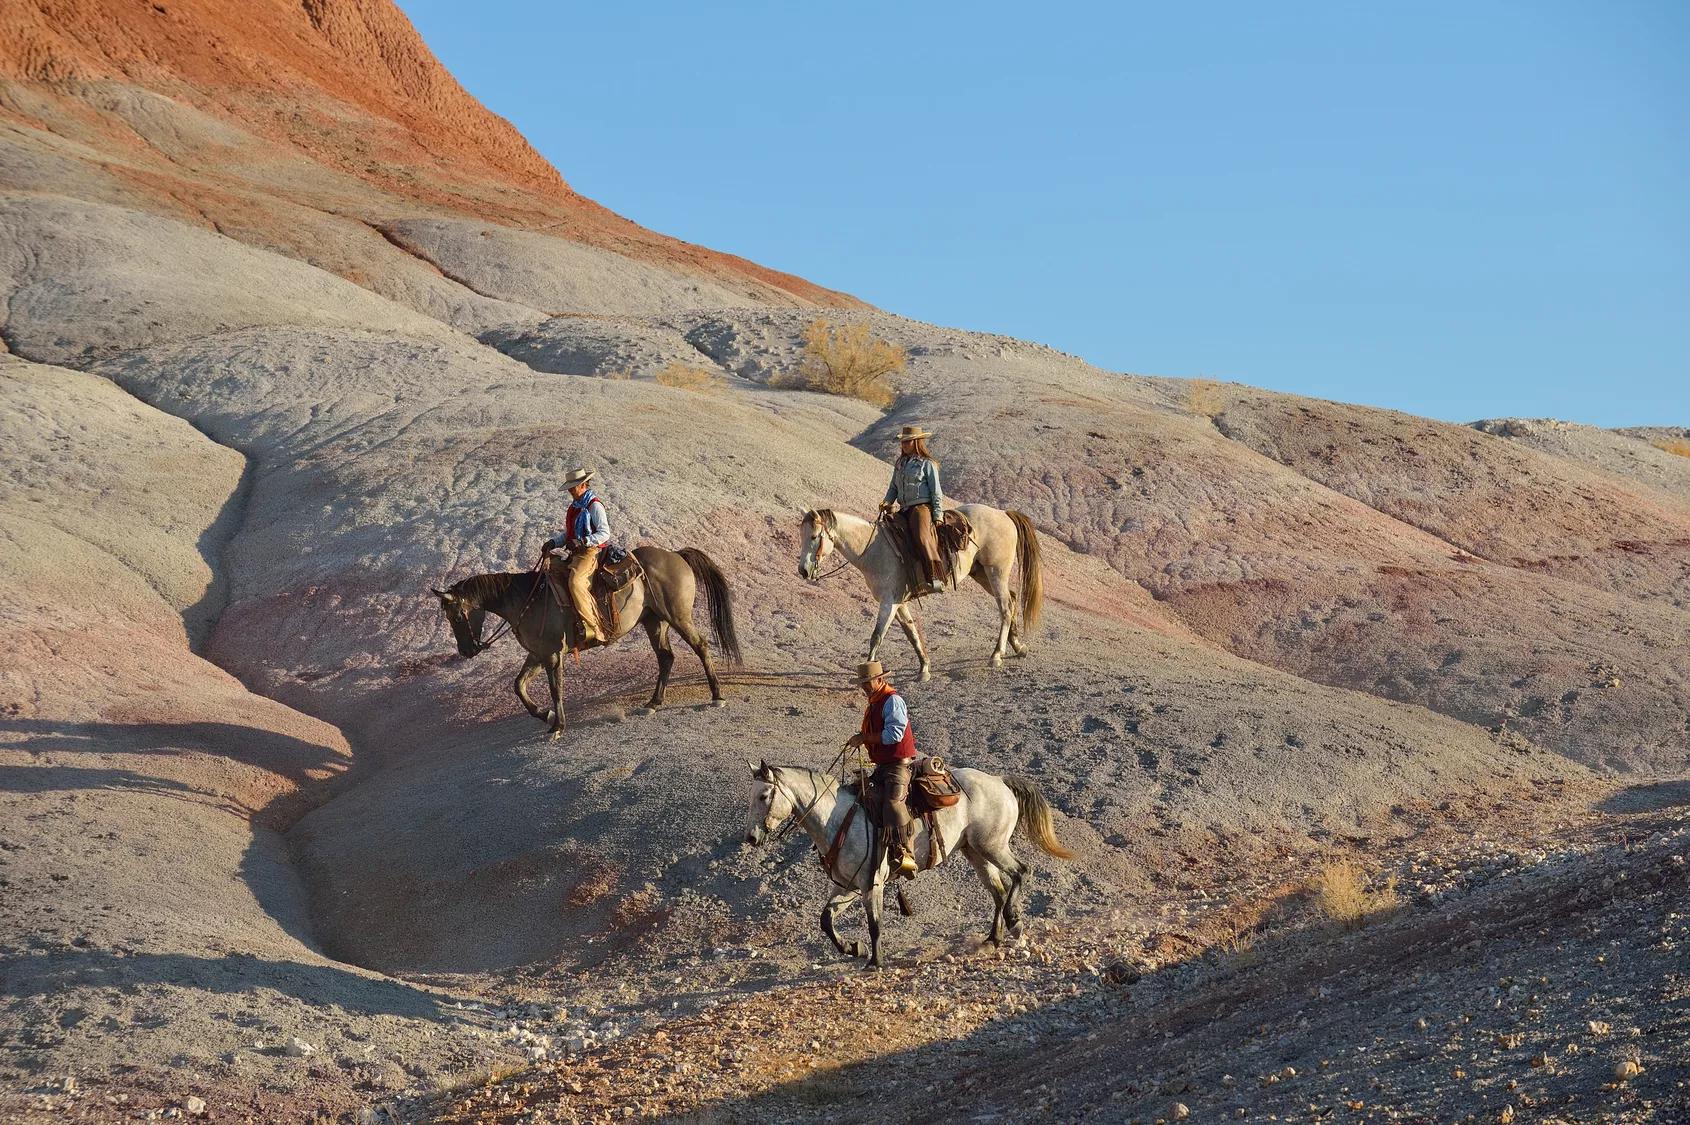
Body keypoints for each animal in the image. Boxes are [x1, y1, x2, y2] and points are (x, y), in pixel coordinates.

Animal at [432, 543, 736, 736]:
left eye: (456, 616)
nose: (466, 650)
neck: (527, 599)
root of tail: (675, 555)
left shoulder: (553, 654)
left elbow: (556, 689)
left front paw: (558, 725)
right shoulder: (537, 654)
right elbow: (518, 686)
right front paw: (545, 715)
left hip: (678, 616)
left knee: (700, 646)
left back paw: (717, 696)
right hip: (654, 622)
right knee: (666, 657)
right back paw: (653, 703)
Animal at [746, 756, 1074, 966]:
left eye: (764, 795)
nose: (751, 837)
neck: (837, 818)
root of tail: (999, 781)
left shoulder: (871, 884)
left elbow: (875, 923)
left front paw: (875, 961)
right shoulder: (848, 886)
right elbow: (826, 919)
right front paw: (854, 948)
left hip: (992, 846)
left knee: (1021, 872)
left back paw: (1014, 922)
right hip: (974, 851)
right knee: (998, 890)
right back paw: (992, 939)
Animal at [794, 506, 1041, 679]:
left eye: (814, 536)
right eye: (802, 536)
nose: (803, 571)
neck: (873, 549)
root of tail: (1003, 514)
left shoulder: (889, 603)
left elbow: (877, 636)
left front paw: (869, 676)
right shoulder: (899, 602)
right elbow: (911, 633)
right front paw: (924, 668)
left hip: (995, 571)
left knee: (1005, 608)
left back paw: (997, 655)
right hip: (981, 573)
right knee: (1012, 598)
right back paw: (1018, 647)